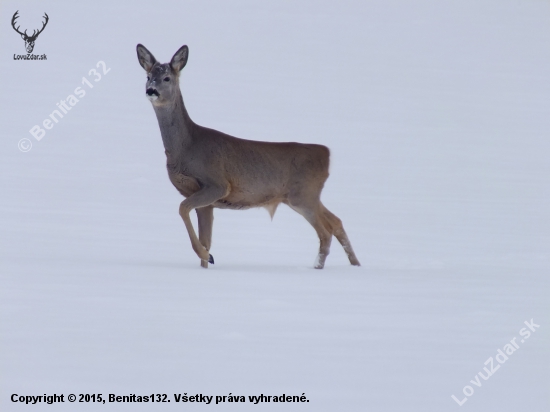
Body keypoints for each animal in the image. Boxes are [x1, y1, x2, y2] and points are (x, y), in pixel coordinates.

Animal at [137, 45, 362, 268]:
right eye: (148, 76)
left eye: (167, 77)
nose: (151, 90)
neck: (186, 147)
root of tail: (326, 153)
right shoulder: (204, 200)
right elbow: (206, 238)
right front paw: (206, 260)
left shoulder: (217, 184)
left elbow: (183, 209)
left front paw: (206, 255)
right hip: (303, 196)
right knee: (336, 222)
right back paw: (355, 264)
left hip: (303, 195)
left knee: (325, 231)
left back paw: (318, 267)